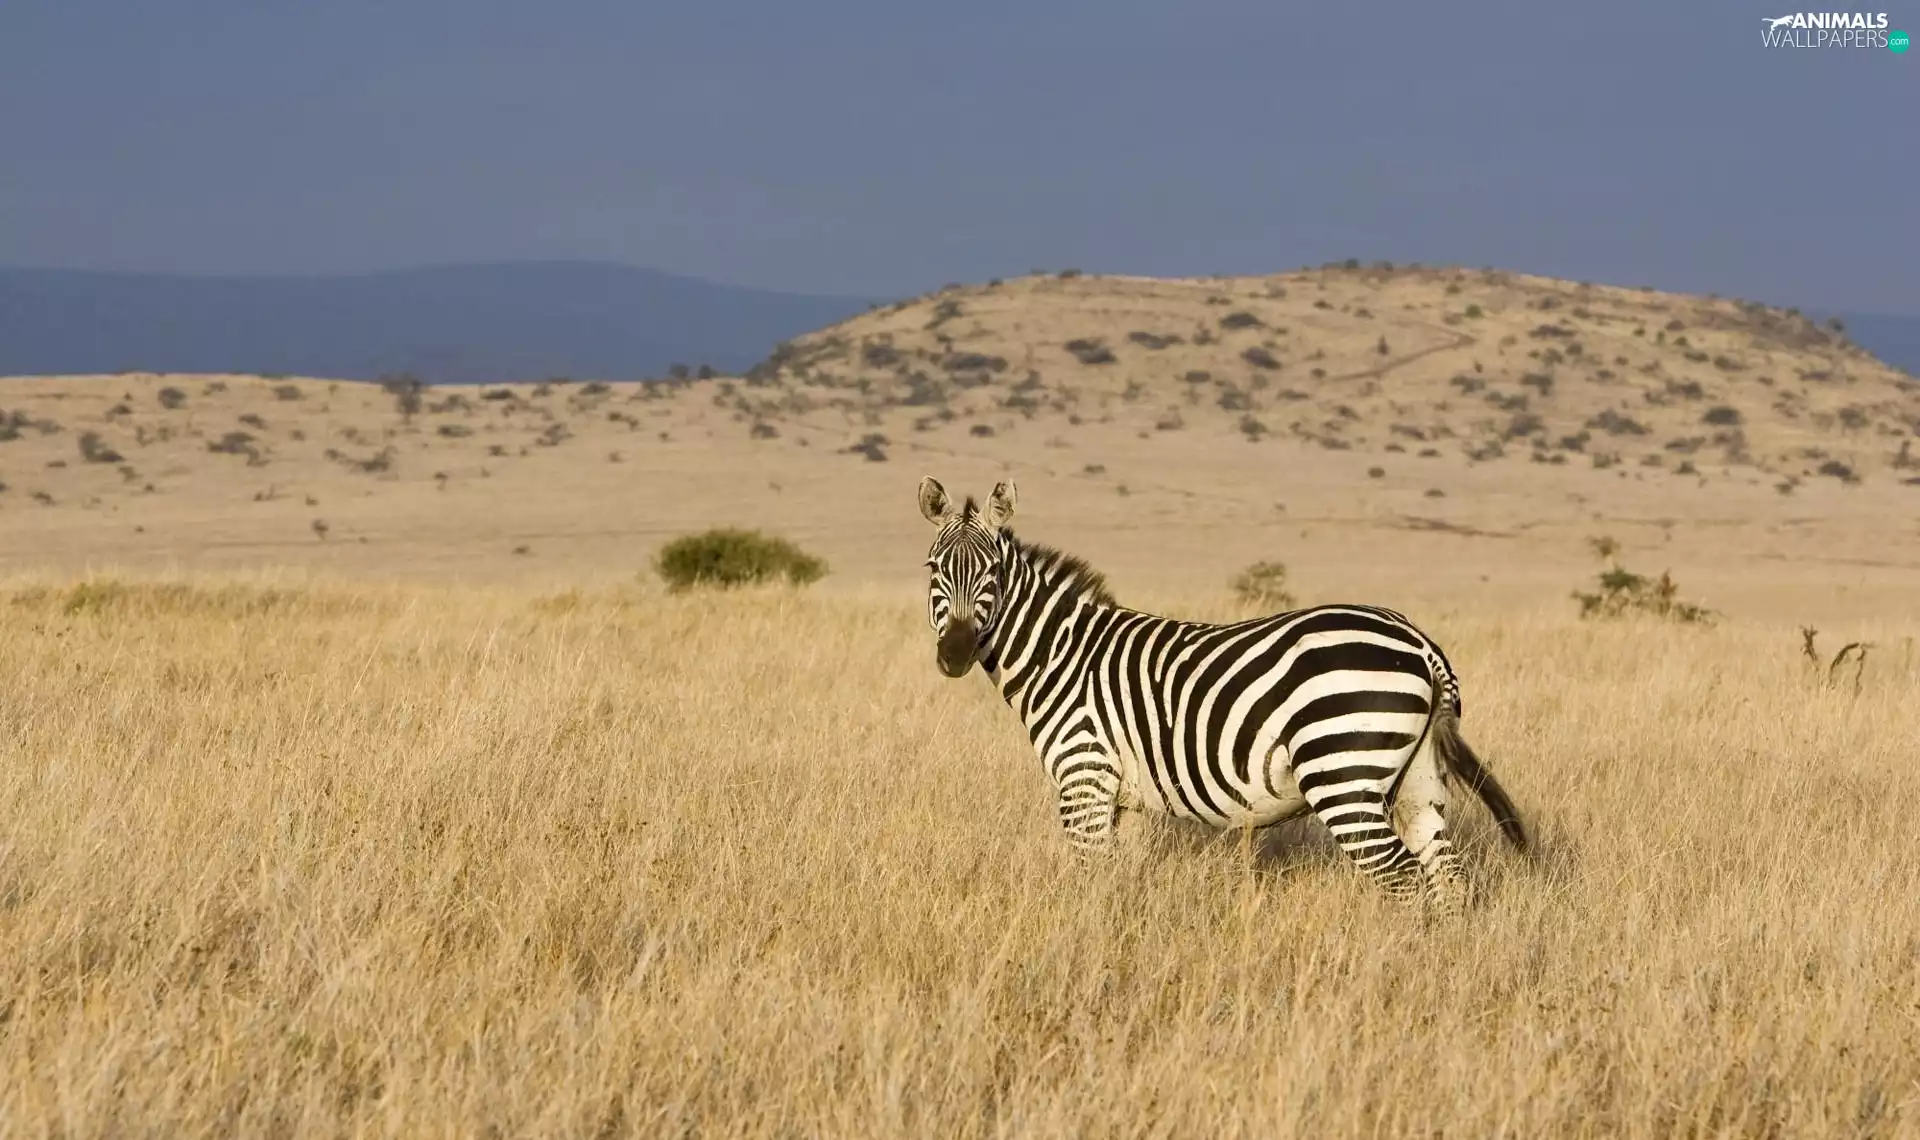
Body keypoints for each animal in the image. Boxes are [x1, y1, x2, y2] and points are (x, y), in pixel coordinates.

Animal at [917, 475, 1529, 913]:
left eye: (993, 572)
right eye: (933, 568)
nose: (955, 654)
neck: (1062, 654)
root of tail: (1419, 642)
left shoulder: (1083, 778)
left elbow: (1090, 881)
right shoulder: (1124, 797)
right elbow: (1119, 881)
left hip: (1343, 772)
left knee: (1400, 876)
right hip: (1418, 780)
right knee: (1446, 875)